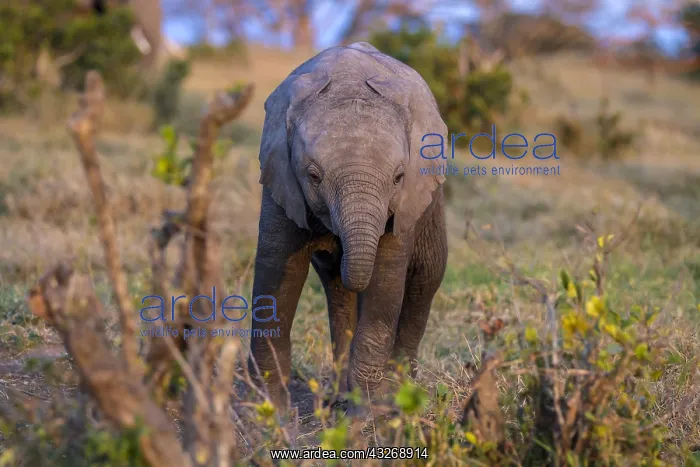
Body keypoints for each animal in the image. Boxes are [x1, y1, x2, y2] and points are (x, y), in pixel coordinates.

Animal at [248, 41, 448, 413]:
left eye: (398, 177)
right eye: (313, 176)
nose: (335, 241)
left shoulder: (406, 198)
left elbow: (386, 277)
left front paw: (371, 412)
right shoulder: (280, 177)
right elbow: (278, 270)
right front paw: (267, 414)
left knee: (425, 278)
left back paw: (399, 391)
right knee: (337, 290)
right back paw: (342, 395)